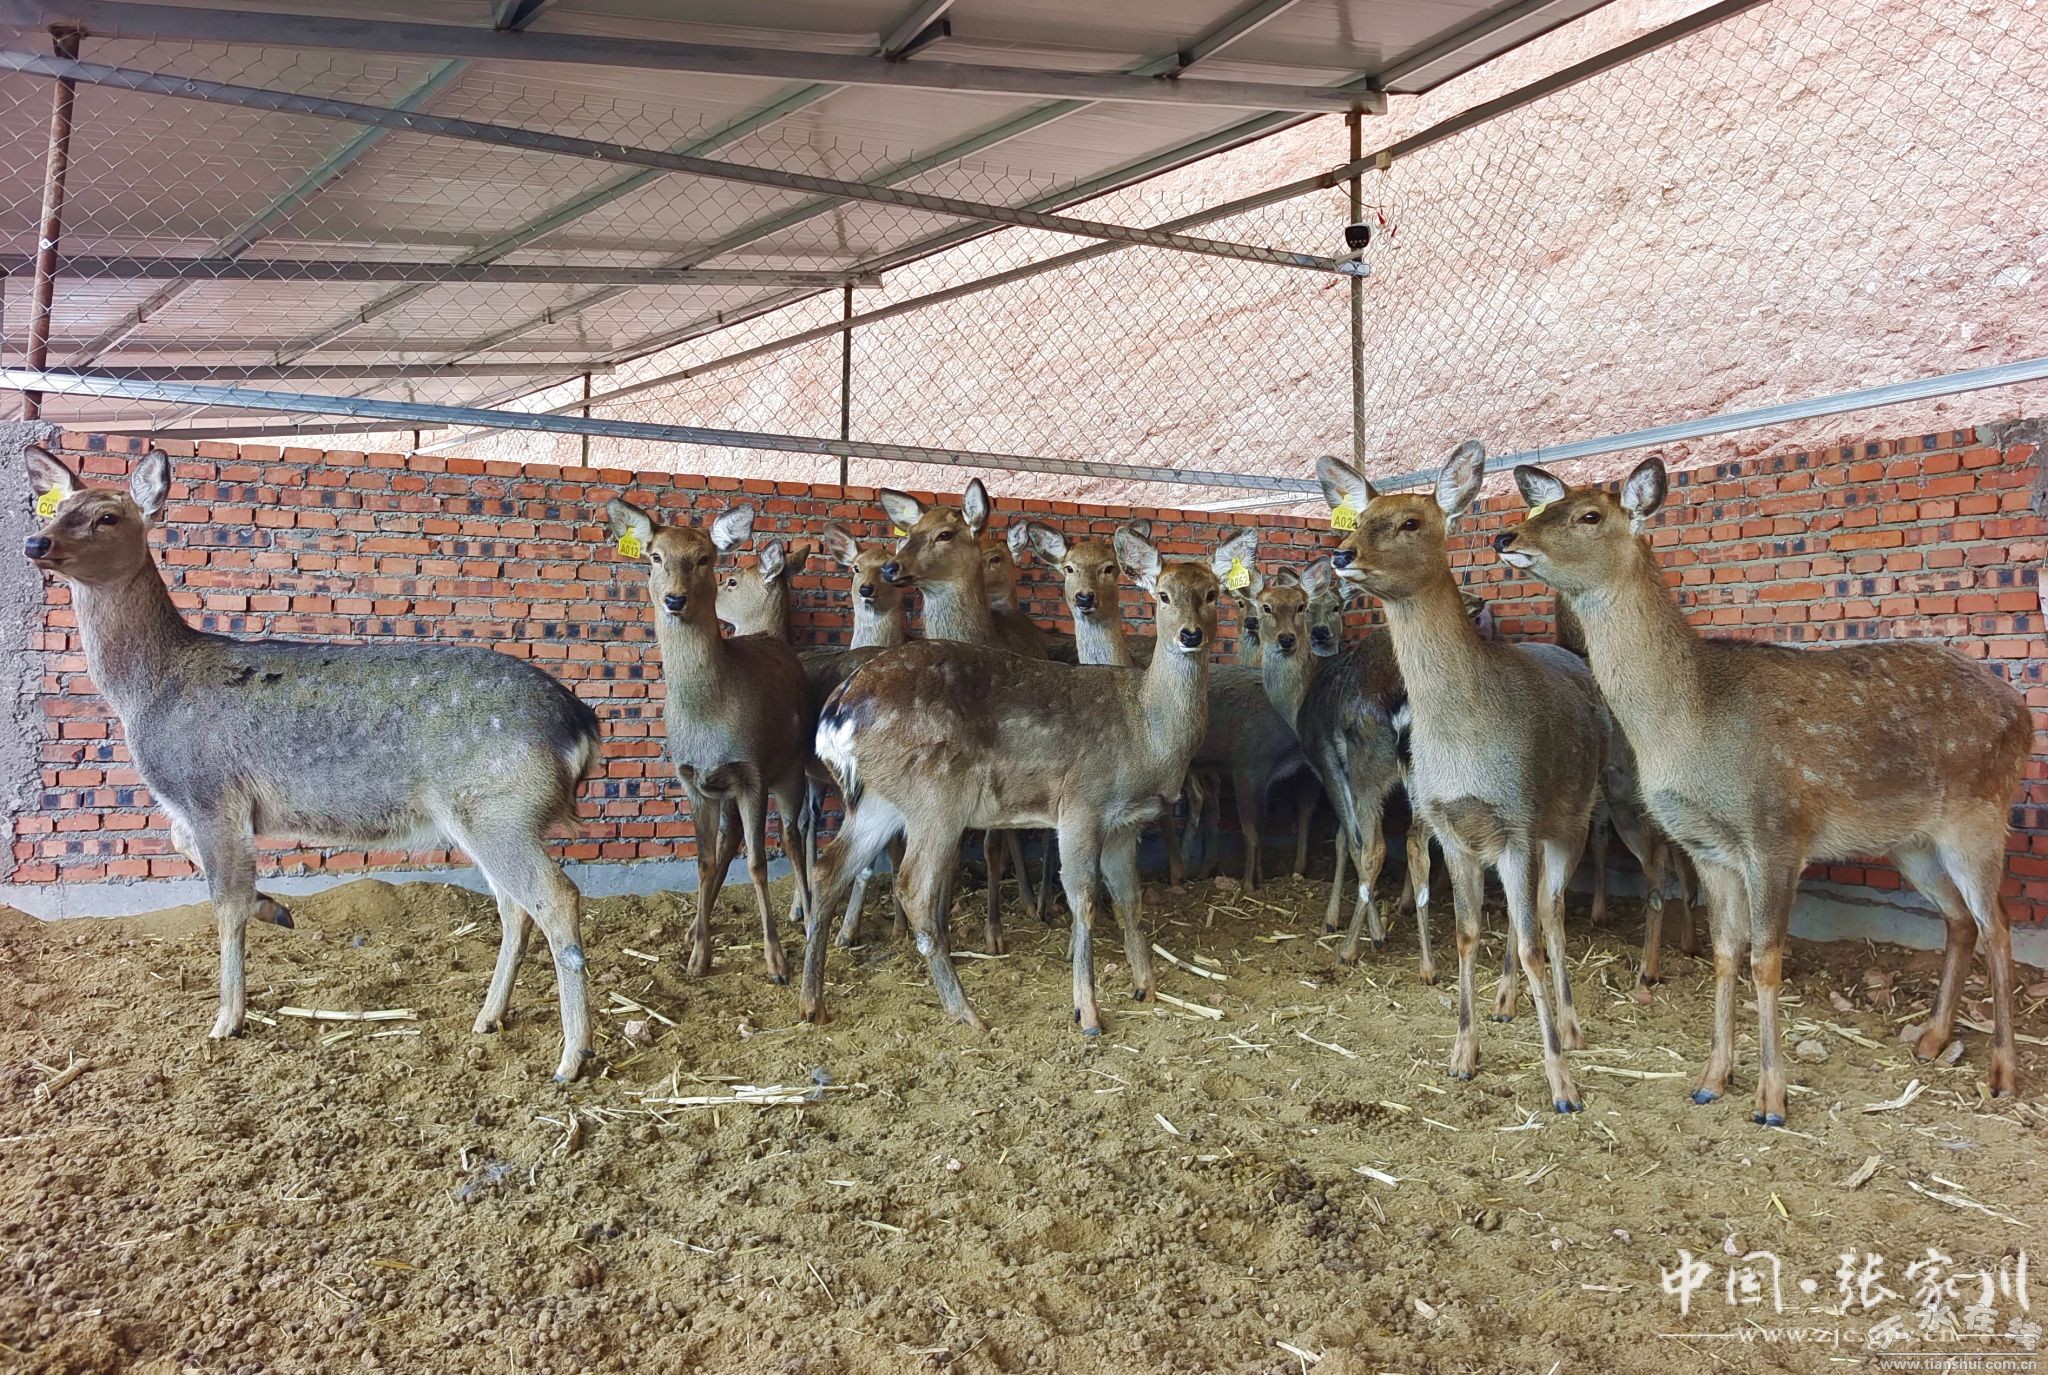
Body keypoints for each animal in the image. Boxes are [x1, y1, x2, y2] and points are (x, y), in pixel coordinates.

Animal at [22, 446, 602, 1081]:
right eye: (54, 509)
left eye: (107, 516)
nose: (35, 543)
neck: (146, 694)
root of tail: (582, 725)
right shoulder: (201, 810)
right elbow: (196, 858)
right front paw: (276, 910)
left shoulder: (212, 792)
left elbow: (224, 901)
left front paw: (227, 1020)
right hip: (485, 816)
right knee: (513, 906)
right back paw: (488, 1018)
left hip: (499, 806)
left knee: (556, 896)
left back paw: (572, 1056)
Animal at [606, 497, 815, 984]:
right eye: (654, 556)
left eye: (705, 559)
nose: (674, 598)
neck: (708, 718)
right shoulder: (692, 778)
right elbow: (703, 860)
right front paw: (698, 955)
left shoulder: (753, 771)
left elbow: (758, 863)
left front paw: (776, 962)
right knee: (733, 837)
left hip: (791, 769)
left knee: (793, 835)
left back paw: (809, 916)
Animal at [798, 527, 1257, 1032]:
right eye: (1163, 595)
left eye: (1212, 594)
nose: (1191, 634)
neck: (1146, 733)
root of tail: (836, 713)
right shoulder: (1080, 805)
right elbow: (1083, 900)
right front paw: (1087, 1013)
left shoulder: (1127, 822)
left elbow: (1130, 899)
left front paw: (1146, 988)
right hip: (936, 795)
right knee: (913, 886)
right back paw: (967, 1012)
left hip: (878, 798)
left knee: (829, 869)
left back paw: (813, 1003)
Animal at [1321, 440, 1610, 1114]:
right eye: (1360, 516)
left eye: (1410, 521)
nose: (1342, 554)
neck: (1464, 743)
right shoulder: (1452, 828)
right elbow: (1467, 933)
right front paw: (1462, 1055)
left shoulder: (1518, 820)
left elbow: (1530, 942)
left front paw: (1562, 1085)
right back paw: (1507, 1005)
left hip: (1574, 817)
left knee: (1552, 914)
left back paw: (1572, 1025)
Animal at [1498, 456, 2032, 1119]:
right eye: (1538, 508)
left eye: (1590, 515)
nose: (1506, 536)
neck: (1689, 725)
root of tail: (2023, 712)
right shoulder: (1709, 848)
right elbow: (1726, 954)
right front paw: (1712, 1077)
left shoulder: (1776, 832)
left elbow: (1766, 960)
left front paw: (1771, 1097)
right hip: (1911, 841)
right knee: (1959, 921)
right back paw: (1931, 1039)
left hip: (1979, 816)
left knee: (1998, 926)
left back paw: (2003, 1072)